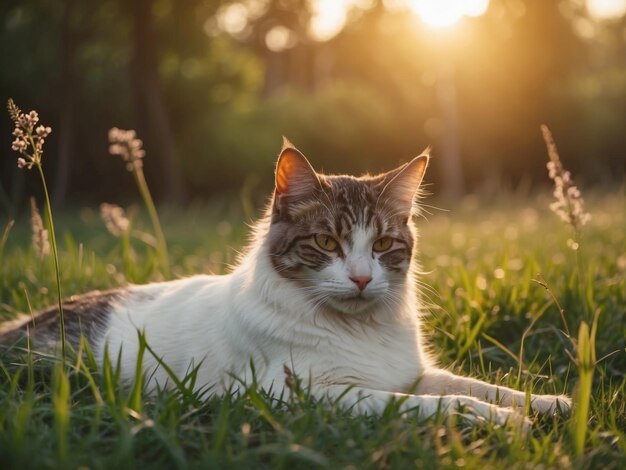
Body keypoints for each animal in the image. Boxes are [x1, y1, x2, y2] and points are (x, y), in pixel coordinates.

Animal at [0, 139, 572, 426]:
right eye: (325, 243)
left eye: (383, 245)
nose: (362, 278)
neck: (361, 331)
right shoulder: (303, 393)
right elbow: (445, 403)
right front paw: (502, 420)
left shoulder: (411, 373)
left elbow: (479, 385)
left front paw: (550, 403)